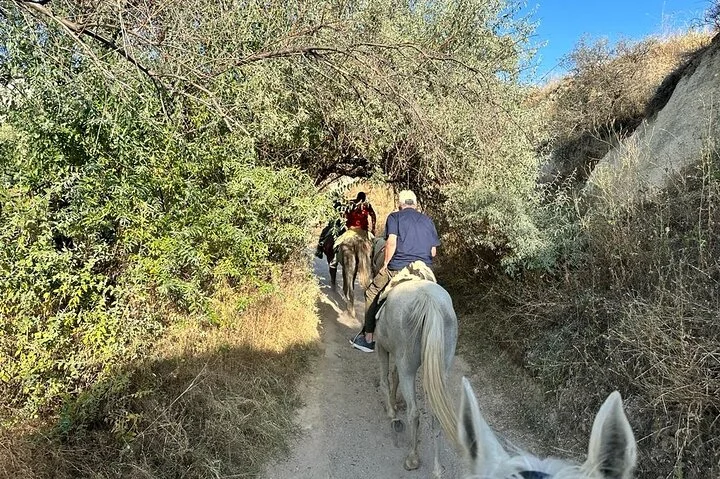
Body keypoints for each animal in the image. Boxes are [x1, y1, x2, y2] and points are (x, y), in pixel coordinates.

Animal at [374, 277, 459, 477]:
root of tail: (429, 300)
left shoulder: (381, 347)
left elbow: (385, 379)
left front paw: (391, 411)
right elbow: (394, 376)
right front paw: (394, 403)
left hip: (407, 366)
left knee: (414, 412)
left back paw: (412, 458)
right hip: (440, 369)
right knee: (436, 416)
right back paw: (437, 468)